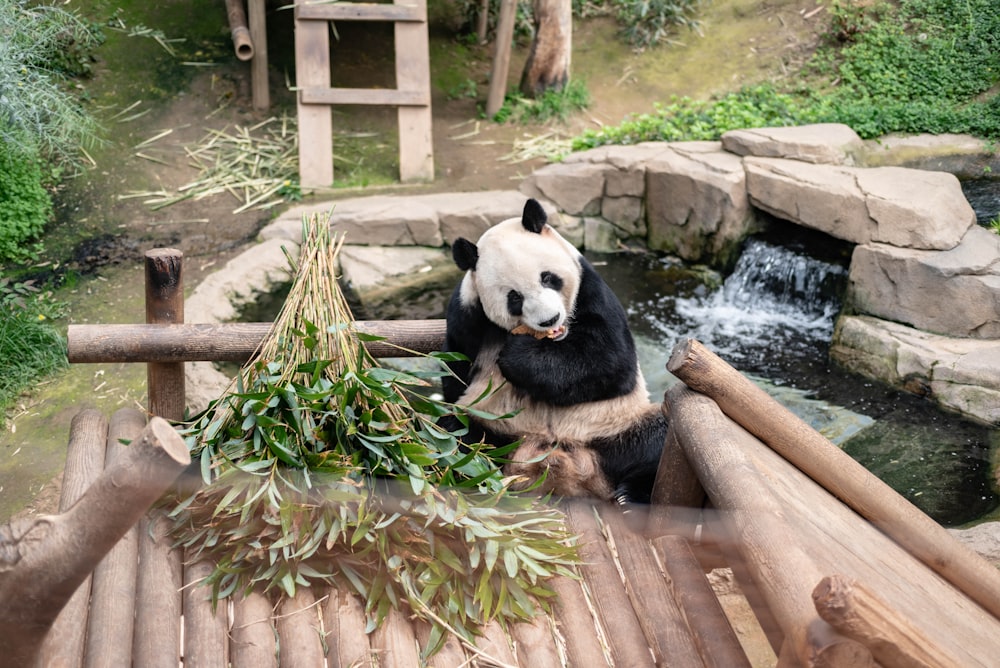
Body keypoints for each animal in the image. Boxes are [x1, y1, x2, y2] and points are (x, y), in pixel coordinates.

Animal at [444, 200, 664, 506]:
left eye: (548, 278)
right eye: (514, 297)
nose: (550, 320)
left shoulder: (592, 290)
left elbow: (610, 362)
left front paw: (518, 355)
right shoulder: (467, 316)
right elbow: (454, 373)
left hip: (614, 428)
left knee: (659, 437)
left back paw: (631, 496)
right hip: (497, 428)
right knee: (456, 434)